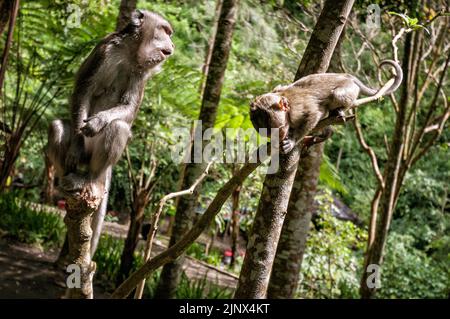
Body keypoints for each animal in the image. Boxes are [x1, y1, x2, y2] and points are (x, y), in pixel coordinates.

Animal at [47, 9, 174, 255]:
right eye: (164, 30)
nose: (171, 44)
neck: (130, 52)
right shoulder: (104, 49)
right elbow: (83, 92)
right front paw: (76, 144)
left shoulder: (142, 73)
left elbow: (128, 110)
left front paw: (99, 121)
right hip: (82, 155)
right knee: (57, 127)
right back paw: (68, 178)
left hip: (95, 159)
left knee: (118, 128)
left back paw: (90, 178)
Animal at [251, 61, 402, 155]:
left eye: (280, 130)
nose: (279, 138)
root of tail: (347, 76)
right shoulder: (277, 90)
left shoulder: (298, 109)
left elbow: (314, 114)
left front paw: (292, 141)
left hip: (350, 88)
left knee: (337, 95)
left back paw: (337, 112)